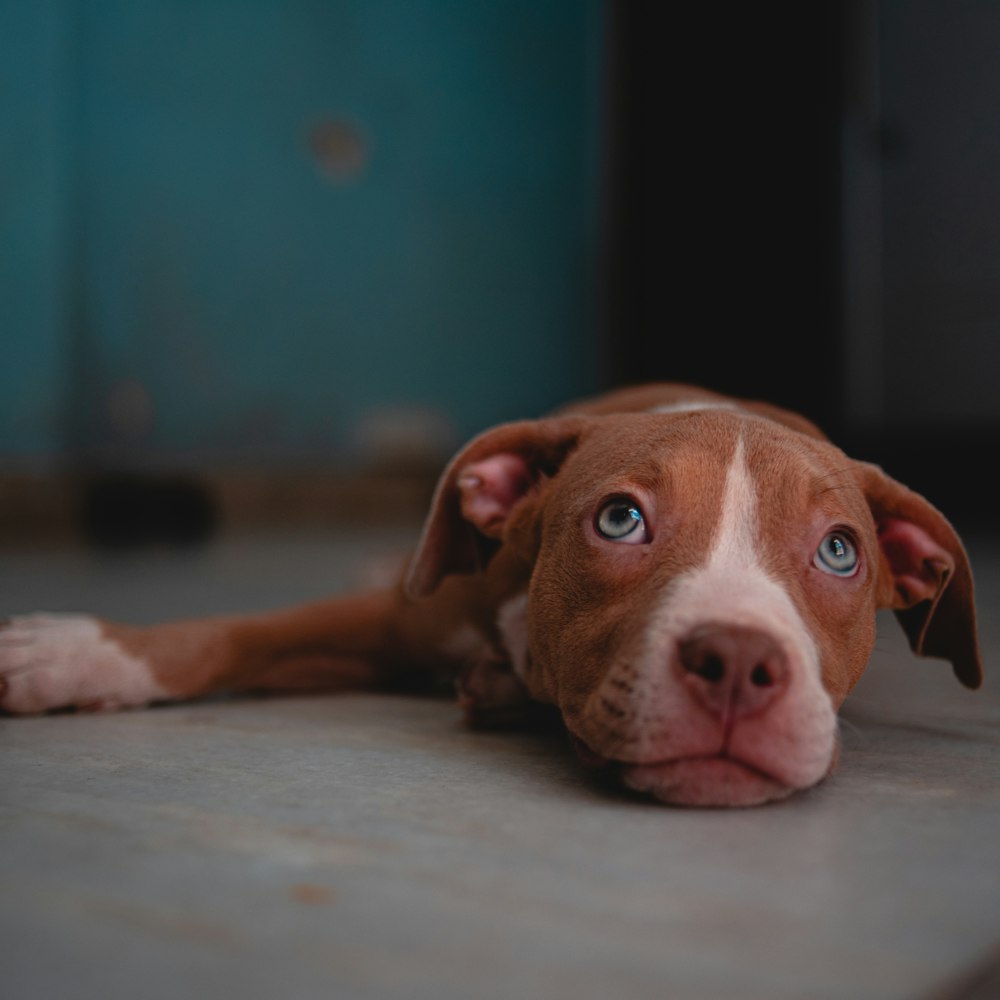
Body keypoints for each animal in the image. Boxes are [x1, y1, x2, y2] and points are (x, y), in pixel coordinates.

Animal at [0, 386, 984, 808]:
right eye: (620, 519)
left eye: (840, 551)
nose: (739, 662)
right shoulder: (399, 616)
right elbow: (228, 634)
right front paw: (69, 654)